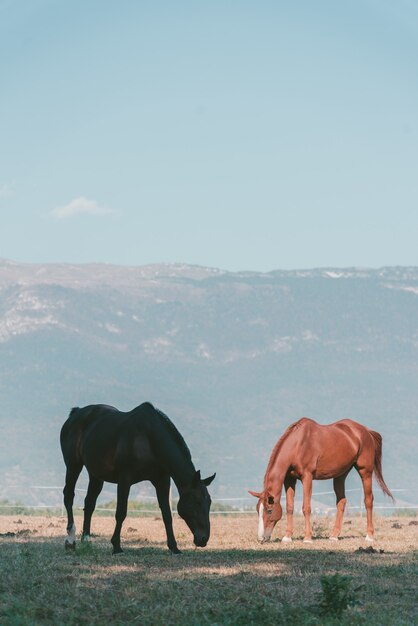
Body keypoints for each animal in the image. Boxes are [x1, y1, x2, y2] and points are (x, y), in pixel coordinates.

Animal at [59, 400, 216, 552]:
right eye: (197, 502)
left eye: (209, 502)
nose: (203, 539)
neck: (148, 439)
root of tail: (76, 413)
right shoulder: (125, 479)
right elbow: (121, 512)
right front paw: (116, 546)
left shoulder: (162, 480)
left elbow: (167, 514)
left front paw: (174, 547)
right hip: (73, 465)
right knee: (69, 495)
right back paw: (70, 539)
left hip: (96, 474)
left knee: (89, 502)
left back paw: (86, 539)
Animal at [250, 416, 394, 544]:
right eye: (257, 510)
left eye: (269, 510)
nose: (261, 538)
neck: (298, 444)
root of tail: (366, 431)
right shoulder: (289, 480)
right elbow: (290, 507)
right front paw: (287, 537)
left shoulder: (307, 477)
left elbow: (306, 507)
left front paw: (307, 538)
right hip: (340, 474)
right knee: (341, 502)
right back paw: (334, 536)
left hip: (365, 471)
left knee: (368, 501)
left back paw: (369, 536)